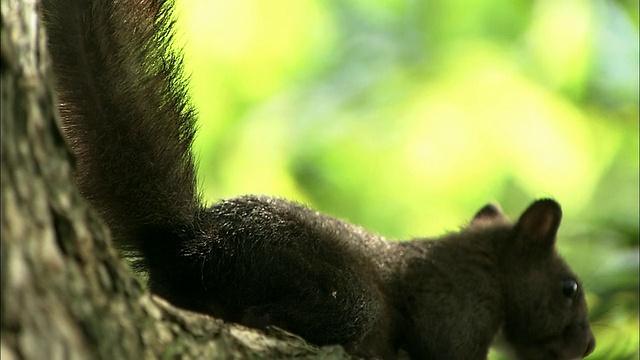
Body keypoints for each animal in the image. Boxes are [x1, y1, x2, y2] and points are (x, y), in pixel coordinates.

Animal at [43, 0, 596, 360]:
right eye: (569, 288)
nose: (589, 344)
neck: (487, 266)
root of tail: (195, 242)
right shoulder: (457, 307)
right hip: (335, 292)